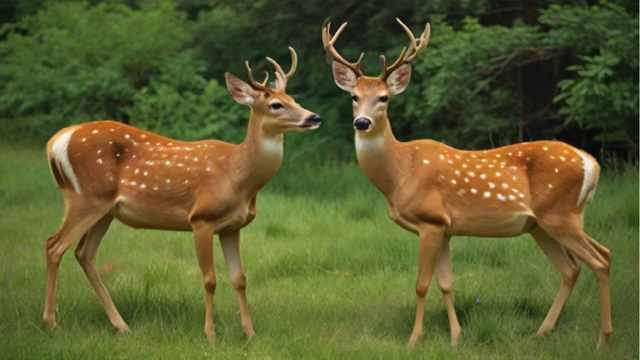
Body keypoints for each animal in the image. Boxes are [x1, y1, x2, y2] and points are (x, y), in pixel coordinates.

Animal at [43, 46, 320, 342]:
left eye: (293, 99)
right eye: (276, 105)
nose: (313, 117)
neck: (237, 175)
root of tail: (58, 140)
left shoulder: (232, 226)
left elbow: (240, 278)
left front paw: (249, 333)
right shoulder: (201, 218)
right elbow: (209, 279)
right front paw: (210, 334)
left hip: (106, 210)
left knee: (84, 253)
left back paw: (121, 325)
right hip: (85, 198)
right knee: (54, 245)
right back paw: (51, 322)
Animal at [322, 19, 612, 346]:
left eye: (384, 98)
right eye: (354, 97)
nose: (362, 122)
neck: (400, 173)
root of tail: (590, 162)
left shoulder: (430, 221)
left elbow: (421, 284)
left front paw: (414, 338)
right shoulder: (446, 227)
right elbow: (447, 283)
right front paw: (456, 337)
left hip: (560, 214)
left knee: (600, 260)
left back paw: (603, 338)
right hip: (544, 223)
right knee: (575, 267)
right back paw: (542, 331)